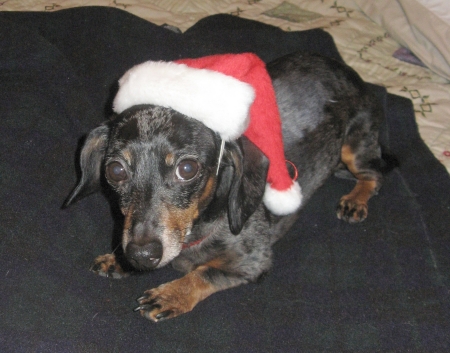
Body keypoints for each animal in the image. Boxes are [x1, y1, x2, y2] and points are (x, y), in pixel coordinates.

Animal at [65, 52, 392, 322]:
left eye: (187, 169)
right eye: (115, 170)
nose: (142, 254)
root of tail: (348, 70)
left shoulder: (253, 262)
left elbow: (204, 273)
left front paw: (171, 295)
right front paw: (118, 259)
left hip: (354, 147)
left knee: (374, 175)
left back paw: (355, 200)